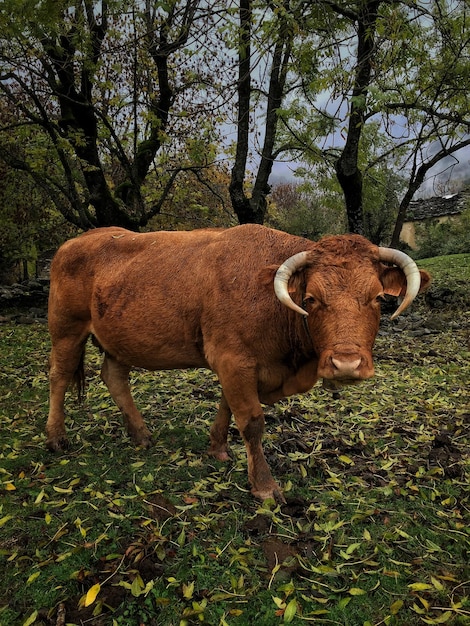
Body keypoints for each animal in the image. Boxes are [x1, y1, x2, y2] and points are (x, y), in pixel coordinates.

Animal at [46, 222, 430, 500]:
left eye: (377, 298)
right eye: (311, 298)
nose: (346, 364)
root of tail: (80, 239)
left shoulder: (238, 366)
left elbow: (227, 407)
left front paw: (217, 448)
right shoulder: (233, 360)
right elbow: (251, 421)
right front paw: (264, 485)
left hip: (117, 339)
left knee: (114, 376)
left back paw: (140, 435)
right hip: (66, 328)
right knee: (59, 376)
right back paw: (56, 437)